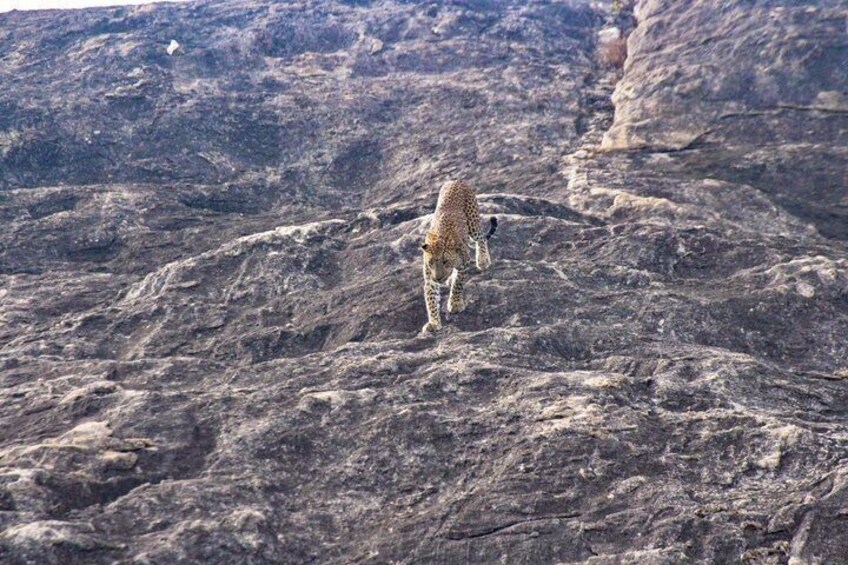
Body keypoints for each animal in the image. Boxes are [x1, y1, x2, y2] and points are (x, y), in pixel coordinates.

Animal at [420, 179, 497, 333]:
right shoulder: (429, 278)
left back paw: (483, 260)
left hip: (473, 222)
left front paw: (455, 303)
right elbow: (431, 300)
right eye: (431, 262)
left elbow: (458, 284)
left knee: (481, 238)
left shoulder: (464, 263)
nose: (439, 278)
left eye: (445, 261)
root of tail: (456, 180)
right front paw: (433, 323)